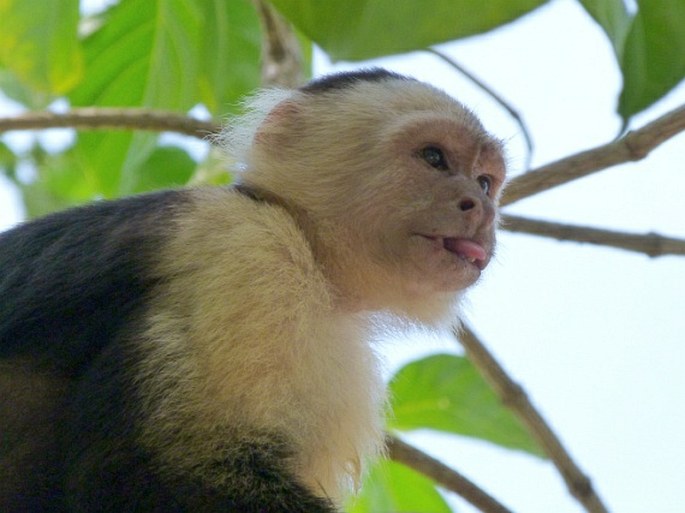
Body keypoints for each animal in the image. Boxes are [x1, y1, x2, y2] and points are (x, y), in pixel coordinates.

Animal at [0, 69, 502, 512]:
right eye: (434, 158)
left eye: (484, 182)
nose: (480, 207)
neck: (314, 257)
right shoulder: (247, 252)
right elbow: (142, 473)